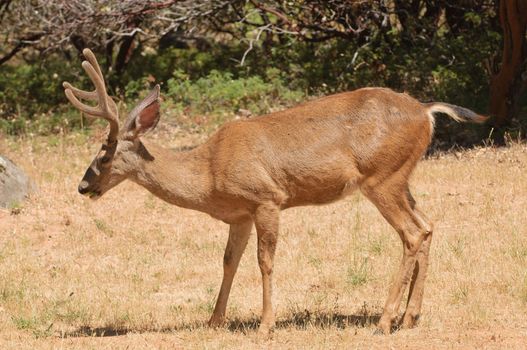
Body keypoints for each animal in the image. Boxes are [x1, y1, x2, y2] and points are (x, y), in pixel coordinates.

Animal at [64, 49, 488, 336]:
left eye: (105, 152)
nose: (83, 186)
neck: (208, 173)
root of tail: (426, 111)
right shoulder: (239, 214)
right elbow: (229, 262)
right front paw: (214, 320)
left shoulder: (266, 198)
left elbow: (264, 261)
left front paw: (266, 325)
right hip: (402, 178)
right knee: (428, 225)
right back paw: (410, 318)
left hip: (382, 177)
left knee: (412, 233)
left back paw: (384, 322)